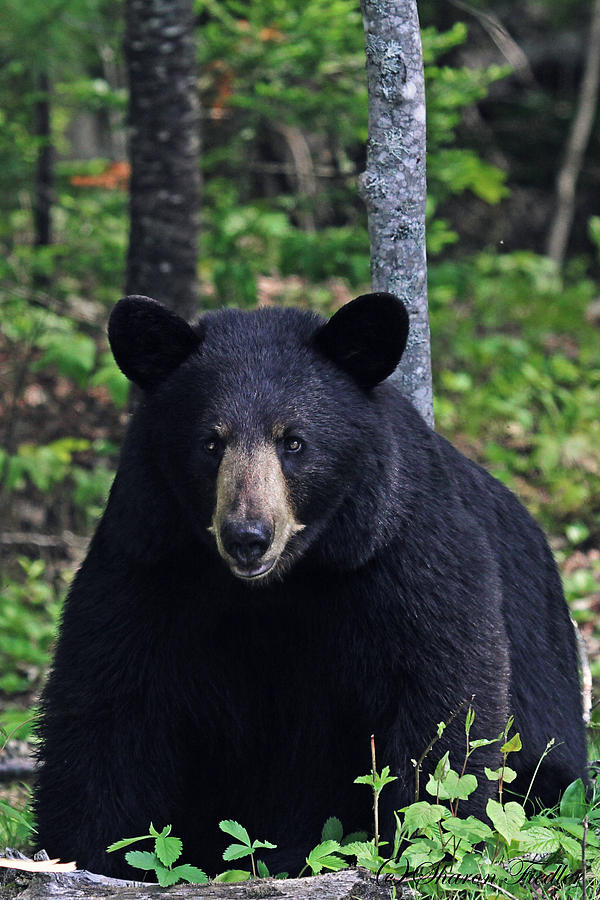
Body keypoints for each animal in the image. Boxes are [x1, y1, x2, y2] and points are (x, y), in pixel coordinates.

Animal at [34, 298, 584, 880]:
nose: (247, 537)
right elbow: (108, 708)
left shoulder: (405, 553)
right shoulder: (148, 557)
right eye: (211, 442)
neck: (281, 584)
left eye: (293, 442)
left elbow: (444, 698)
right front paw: (80, 853)